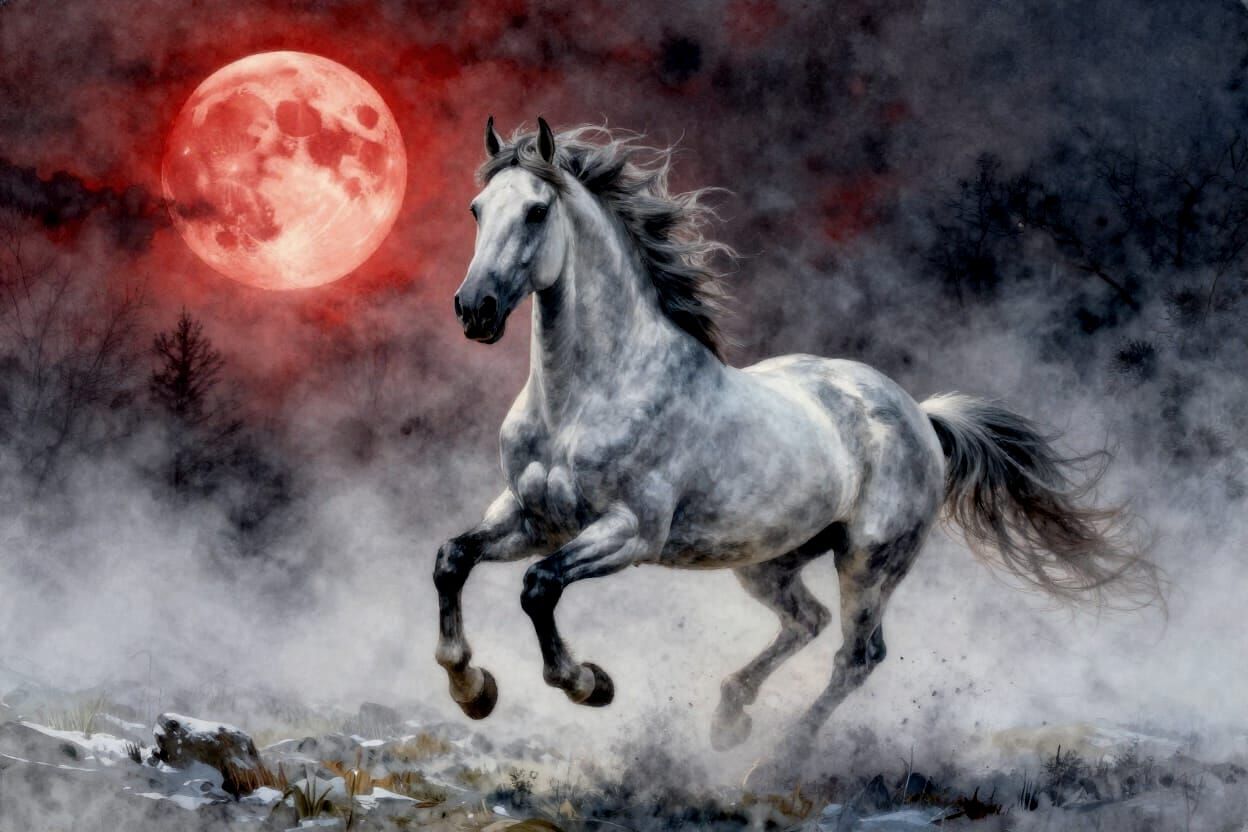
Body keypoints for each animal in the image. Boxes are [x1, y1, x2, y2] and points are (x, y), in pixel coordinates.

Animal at [433, 117, 1159, 757]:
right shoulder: (529, 516)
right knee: (805, 623)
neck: (585, 397)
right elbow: (452, 559)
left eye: (535, 212)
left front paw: (588, 683)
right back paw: (729, 716)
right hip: (768, 559)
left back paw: (778, 758)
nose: (475, 311)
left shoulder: (630, 531)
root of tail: (919, 414)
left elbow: (538, 586)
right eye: (475, 209)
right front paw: (472, 688)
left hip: (870, 560)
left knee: (856, 655)